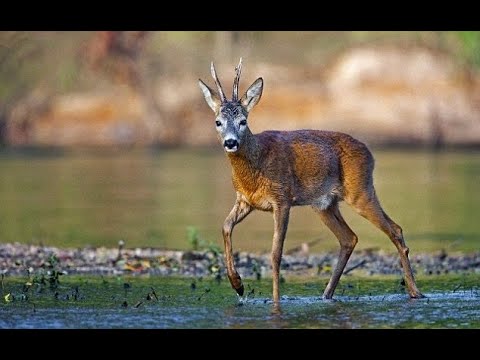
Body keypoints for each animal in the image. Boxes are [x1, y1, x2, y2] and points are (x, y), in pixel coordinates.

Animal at [199, 58, 424, 304]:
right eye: (218, 122)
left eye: (243, 121)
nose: (230, 142)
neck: (254, 167)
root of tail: (369, 152)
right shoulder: (245, 200)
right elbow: (225, 226)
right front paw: (238, 285)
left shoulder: (282, 199)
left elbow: (276, 253)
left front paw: (275, 301)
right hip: (324, 204)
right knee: (349, 238)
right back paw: (326, 295)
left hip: (360, 191)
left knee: (395, 229)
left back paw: (415, 291)